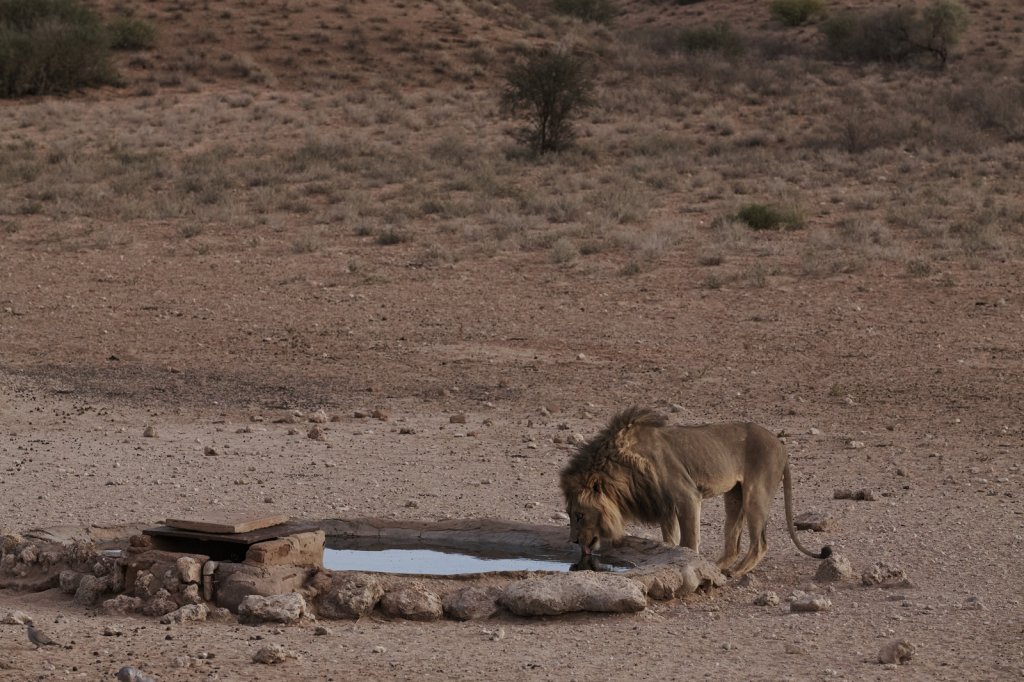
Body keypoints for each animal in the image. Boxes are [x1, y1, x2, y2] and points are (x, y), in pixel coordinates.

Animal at [561, 405, 831, 577]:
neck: (624, 467)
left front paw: (689, 563)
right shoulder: (665, 506)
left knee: (760, 544)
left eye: (579, 515)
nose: (572, 541)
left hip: (756, 494)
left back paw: (735, 572)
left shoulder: (687, 496)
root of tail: (781, 445)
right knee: (733, 544)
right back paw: (717, 567)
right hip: (735, 496)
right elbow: (670, 541)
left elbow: (689, 541)